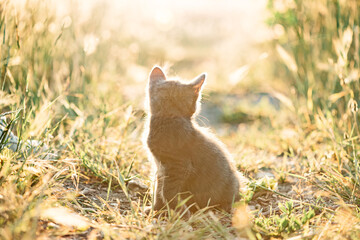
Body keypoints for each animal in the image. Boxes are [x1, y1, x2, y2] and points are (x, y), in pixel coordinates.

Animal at [145, 66, 246, 214]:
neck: (169, 117)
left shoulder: (178, 165)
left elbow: (167, 191)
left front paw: (180, 212)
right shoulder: (160, 167)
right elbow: (159, 188)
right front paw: (157, 209)